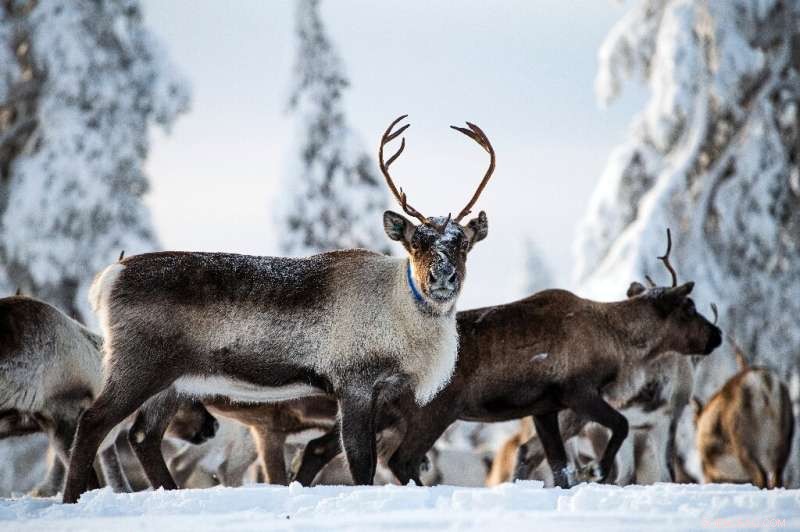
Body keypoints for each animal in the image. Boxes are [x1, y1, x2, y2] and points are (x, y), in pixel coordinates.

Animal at [61, 115, 496, 503]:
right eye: (416, 243)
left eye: (462, 243)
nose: (441, 278)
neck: (401, 309)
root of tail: (108, 278)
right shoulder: (354, 383)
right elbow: (361, 461)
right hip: (138, 365)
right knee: (94, 422)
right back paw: (70, 499)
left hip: (172, 381)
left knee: (143, 437)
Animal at [292, 229, 723, 488]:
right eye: (687, 307)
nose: (716, 336)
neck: (617, 338)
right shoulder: (578, 392)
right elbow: (619, 426)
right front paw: (599, 469)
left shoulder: (545, 407)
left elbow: (559, 467)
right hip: (433, 412)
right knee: (401, 460)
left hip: (382, 411)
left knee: (320, 447)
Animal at [693, 339, 794, 488]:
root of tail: (763, 384)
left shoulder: (711, 472)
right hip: (782, 444)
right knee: (777, 478)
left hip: (744, 444)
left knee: (761, 476)